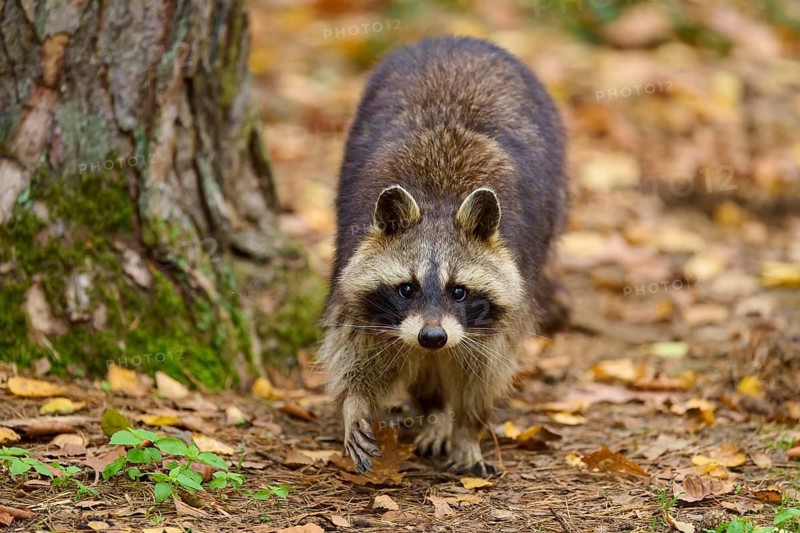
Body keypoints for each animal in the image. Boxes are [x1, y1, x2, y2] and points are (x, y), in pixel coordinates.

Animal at [319, 36, 566, 477]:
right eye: (406, 288)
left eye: (459, 291)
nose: (432, 337)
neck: (439, 202)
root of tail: (458, 40)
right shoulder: (353, 265)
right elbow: (355, 346)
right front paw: (355, 402)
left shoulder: (508, 299)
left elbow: (485, 369)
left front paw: (467, 427)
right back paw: (431, 409)